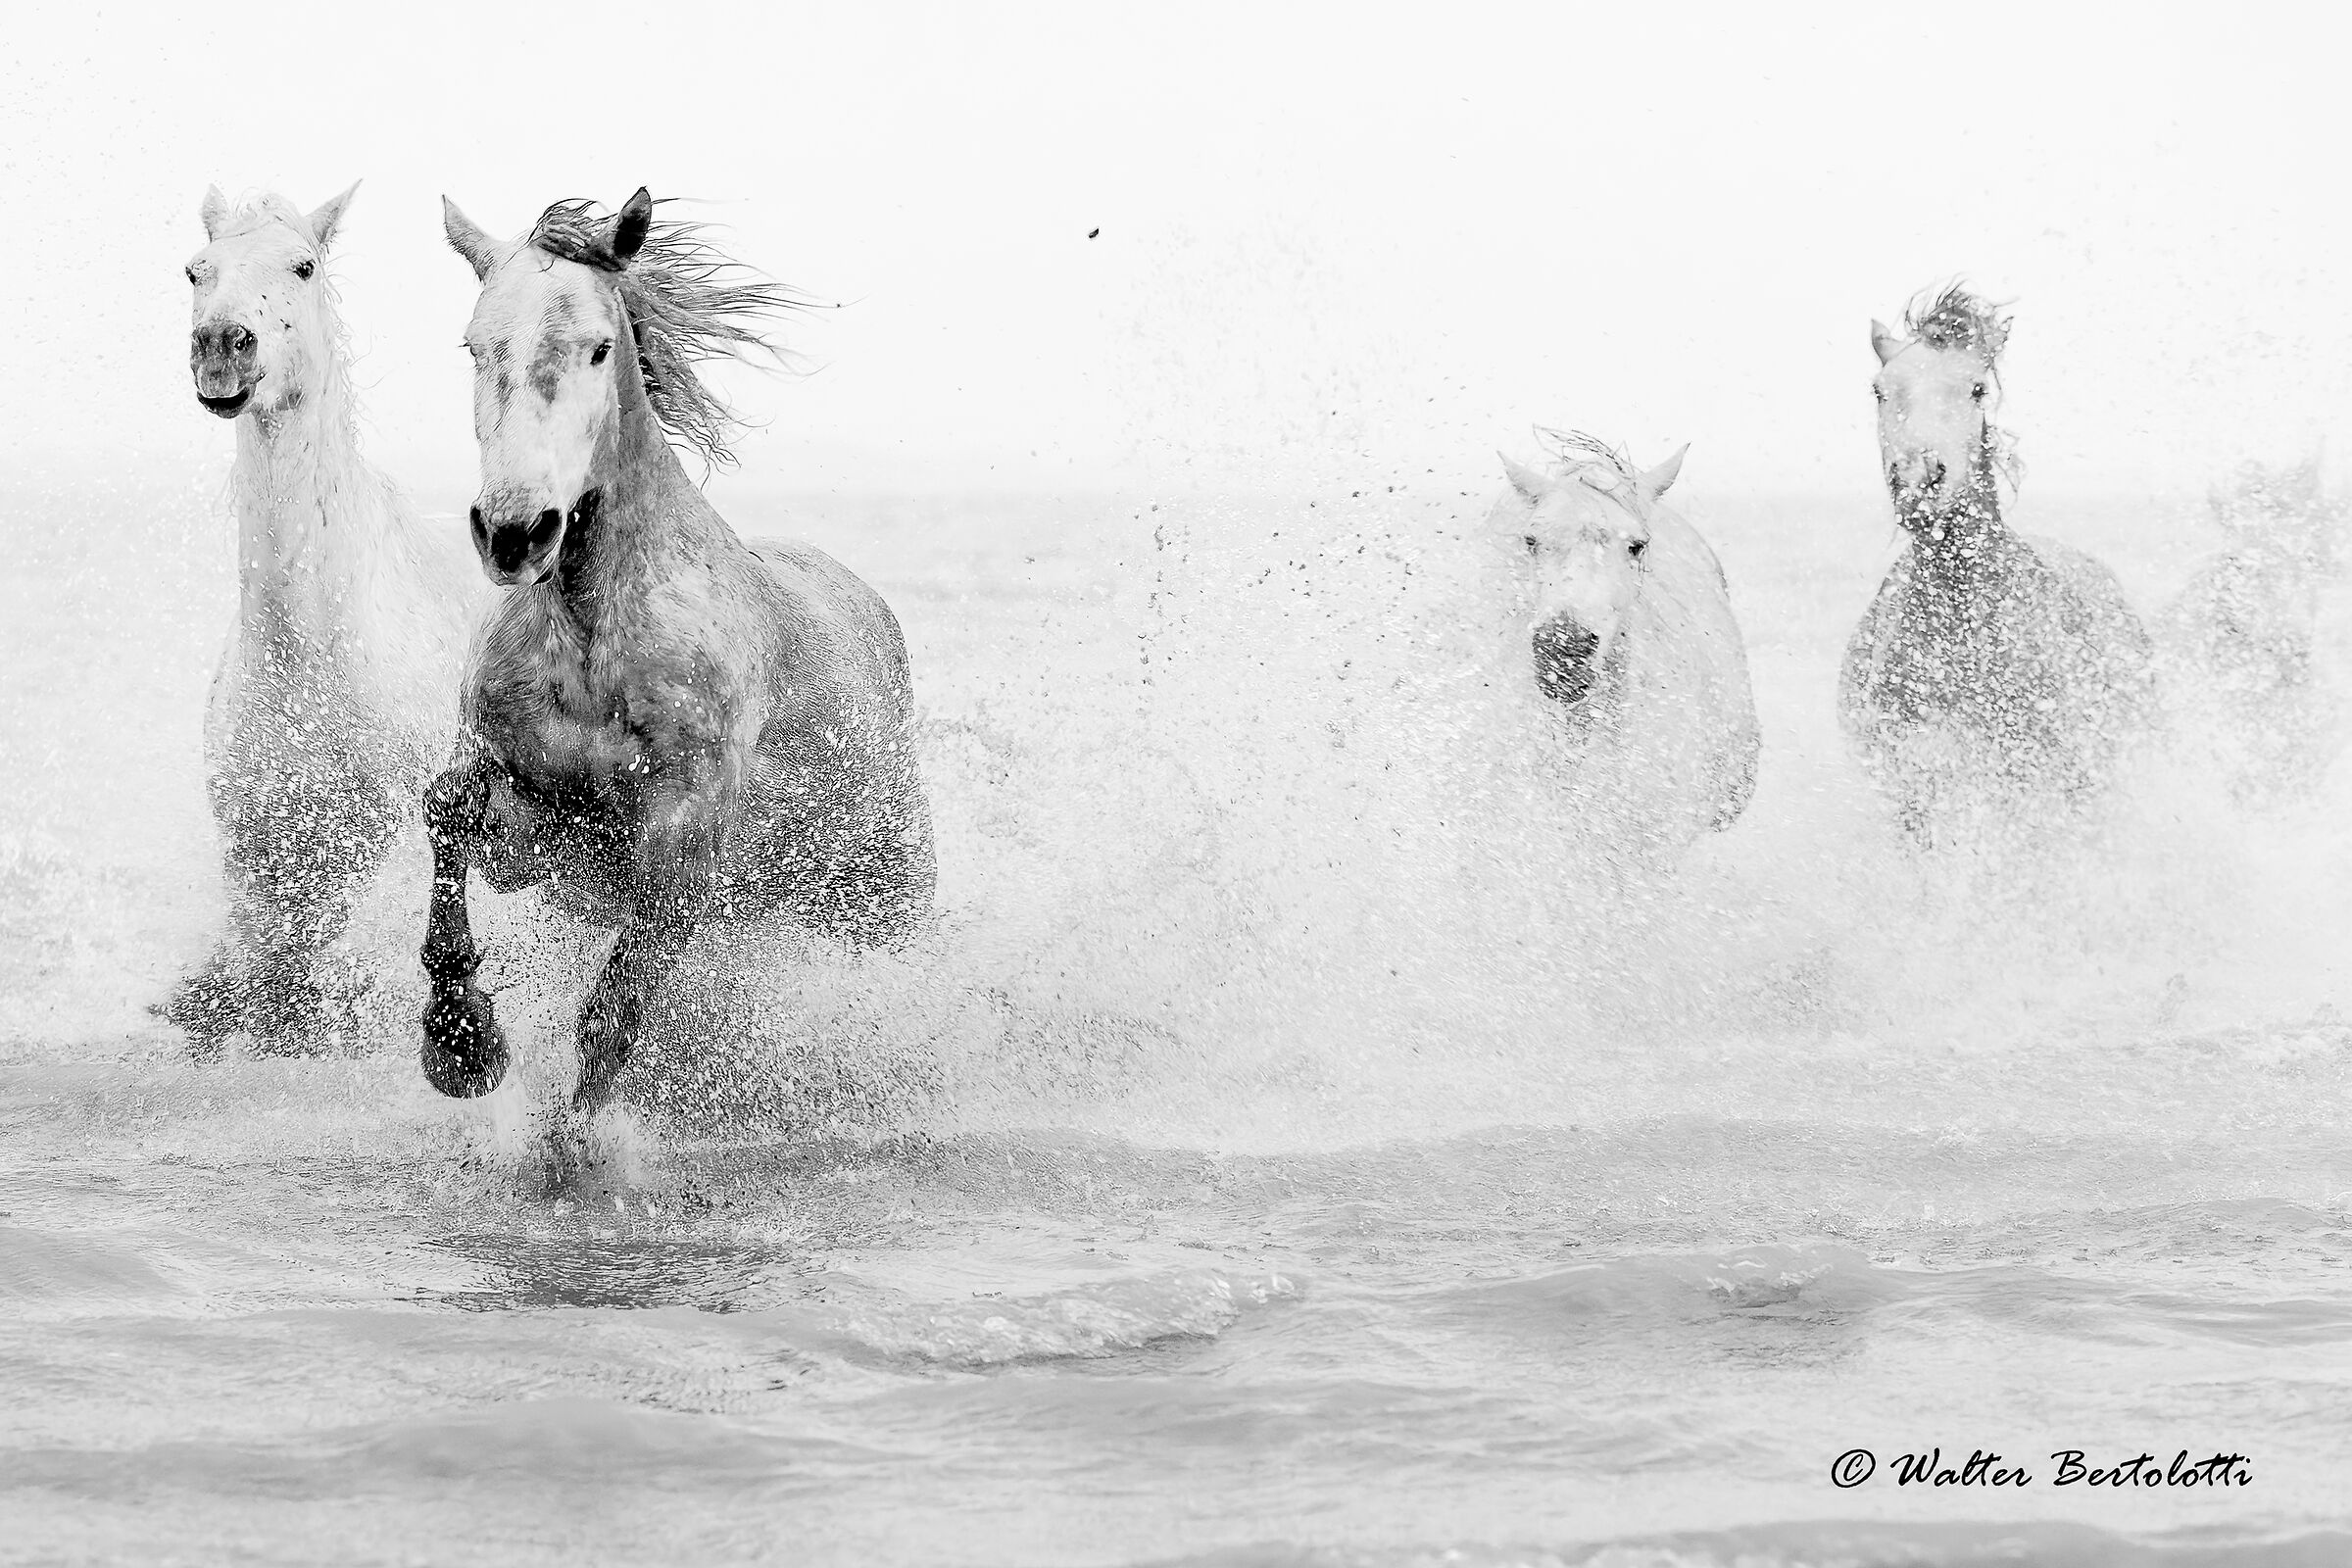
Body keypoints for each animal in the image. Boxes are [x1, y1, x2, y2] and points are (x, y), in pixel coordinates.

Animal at [167, 184, 486, 1052]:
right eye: (196, 270)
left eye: (303, 266)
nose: (223, 346)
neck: (311, 659)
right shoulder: (256, 861)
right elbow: (265, 994)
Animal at [419, 188, 934, 1149]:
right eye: (475, 344)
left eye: (597, 347)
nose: (515, 531)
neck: (596, 648)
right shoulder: (535, 830)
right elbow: (445, 810)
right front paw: (460, 1042)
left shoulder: (682, 844)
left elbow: (614, 1010)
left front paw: (574, 1146)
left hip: (883, 902)